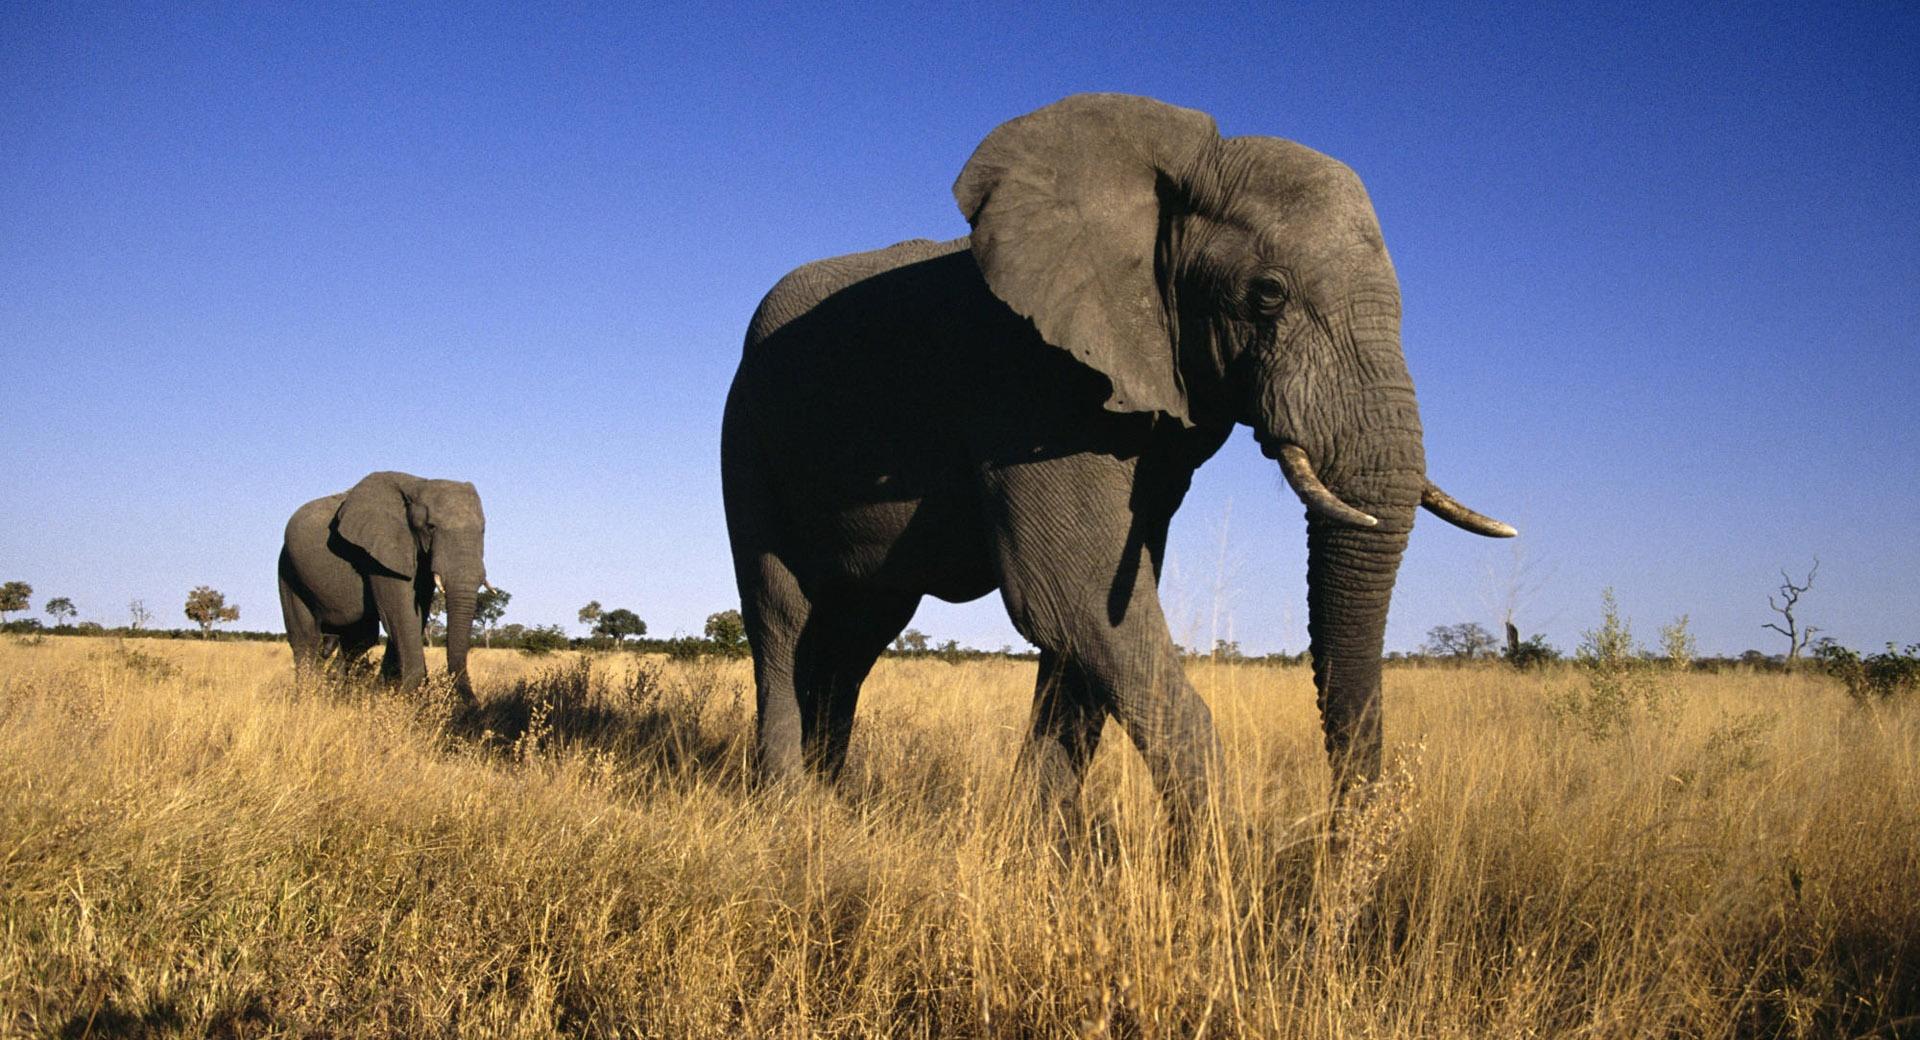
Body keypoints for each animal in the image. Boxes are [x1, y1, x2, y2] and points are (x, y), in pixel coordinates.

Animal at [278, 471, 489, 696]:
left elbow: (416, 613)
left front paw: (386, 693)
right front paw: (408, 696)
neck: (418, 485)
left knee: (360, 637)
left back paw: (337, 688)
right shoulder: (381, 554)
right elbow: (402, 615)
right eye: (430, 527)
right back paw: (311, 694)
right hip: (288, 571)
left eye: (483, 530)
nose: (474, 702)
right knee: (305, 637)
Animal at [721, 94, 1513, 828]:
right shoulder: (1031, 382)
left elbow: (1092, 619)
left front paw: (1040, 845)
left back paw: (832, 799)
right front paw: (1227, 863)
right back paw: (791, 810)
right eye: (1267, 294)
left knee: (861, 627)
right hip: (745, 435)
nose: (1334, 836)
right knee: (784, 616)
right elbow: (1070, 598)